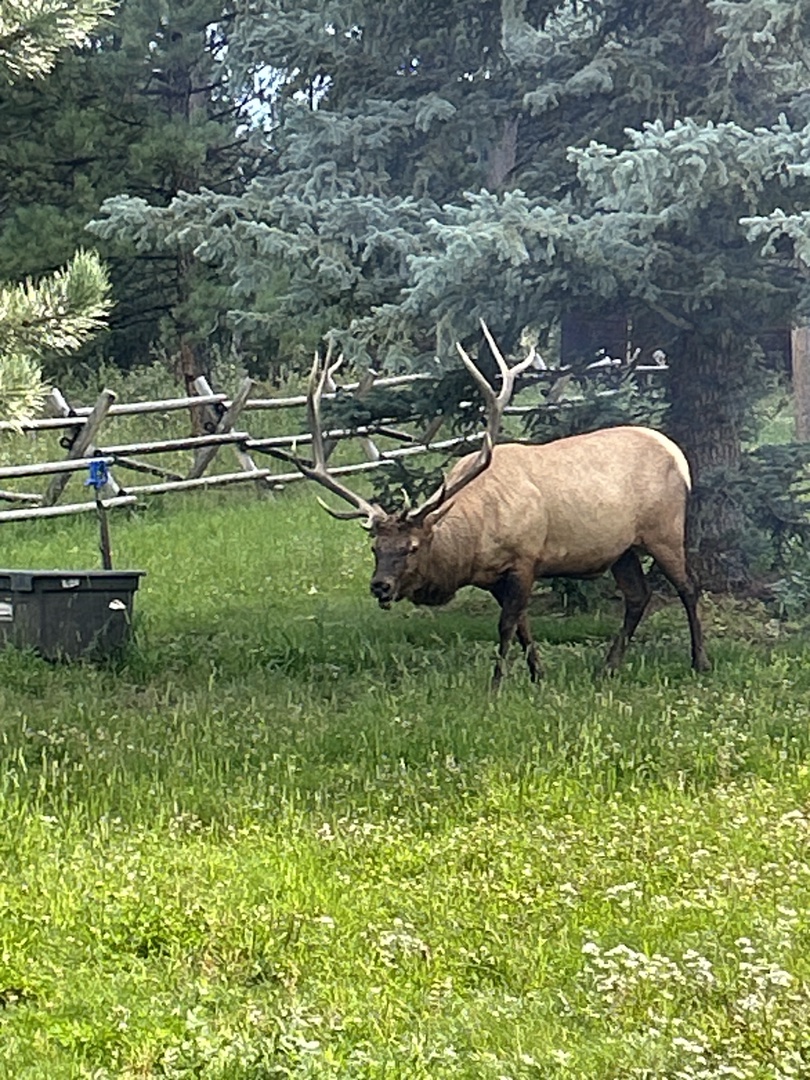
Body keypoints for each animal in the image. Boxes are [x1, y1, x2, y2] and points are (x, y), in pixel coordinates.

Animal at [294, 323, 708, 688]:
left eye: (412, 547)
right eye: (375, 548)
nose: (380, 586)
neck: (474, 545)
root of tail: (679, 457)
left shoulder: (526, 558)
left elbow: (507, 625)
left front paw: (496, 685)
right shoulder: (494, 577)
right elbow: (523, 624)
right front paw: (538, 675)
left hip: (664, 529)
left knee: (689, 586)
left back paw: (699, 661)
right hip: (621, 549)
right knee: (638, 596)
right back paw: (607, 667)